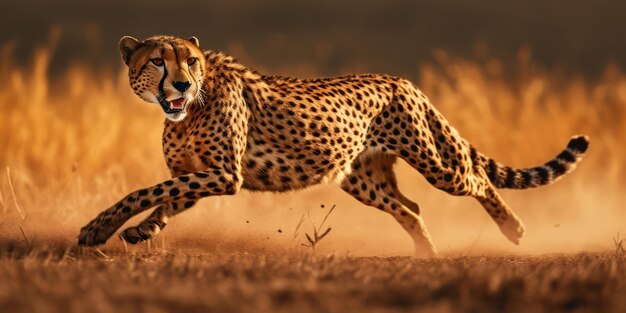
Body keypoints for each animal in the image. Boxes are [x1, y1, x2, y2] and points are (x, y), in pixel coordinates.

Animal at [75, 36, 588, 256]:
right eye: (158, 61)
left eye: (192, 61)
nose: (181, 84)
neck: (187, 110)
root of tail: (401, 79)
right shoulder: (202, 176)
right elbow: (166, 198)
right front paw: (142, 230)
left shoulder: (224, 175)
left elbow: (144, 191)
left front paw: (98, 228)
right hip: (360, 178)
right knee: (411, 208)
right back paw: (425, 254)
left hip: (435, 162)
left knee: (477, 179)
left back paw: (513, 229)